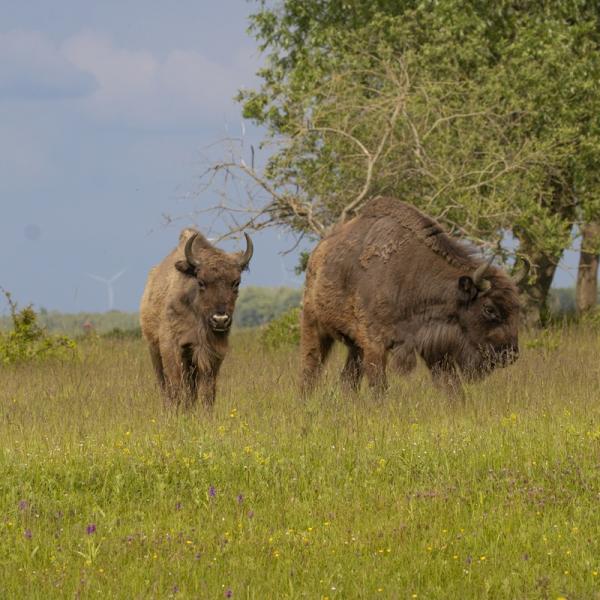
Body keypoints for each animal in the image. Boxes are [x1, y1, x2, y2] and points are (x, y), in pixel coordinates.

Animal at [141, 229, 253, 408]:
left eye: (236, 282)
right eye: (201, 282)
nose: (220, 319)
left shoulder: (211, 354)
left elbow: (207, 392)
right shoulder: (173, 349)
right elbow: (177, 388)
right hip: (154, 350)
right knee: (165, 386)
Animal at [302, 197, 528, 394]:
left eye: (516, 308)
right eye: (489, 308)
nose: (510, 354)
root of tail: (316, 255)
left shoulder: (433, 346)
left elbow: (451, 387)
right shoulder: (375, 344)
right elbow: (379, 387)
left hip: (354, 346)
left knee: (348, 380)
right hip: (314, 327)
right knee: (310, 370)